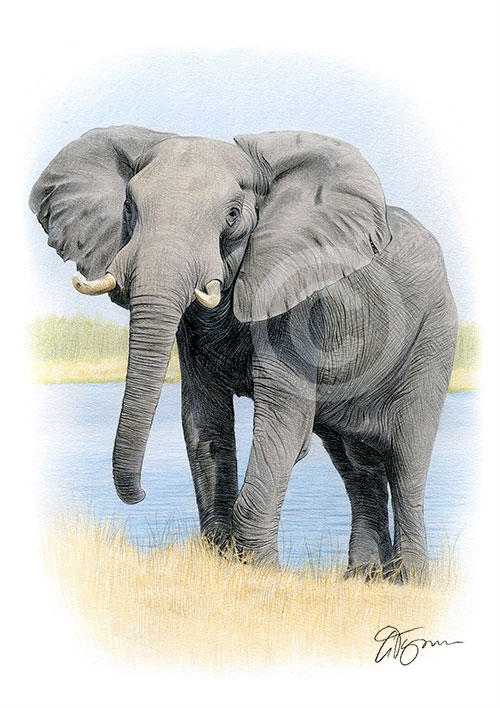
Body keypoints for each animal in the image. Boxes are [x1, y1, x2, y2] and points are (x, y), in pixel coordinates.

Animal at [30, 126, 458, 579]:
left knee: (407, 458)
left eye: (233, 216)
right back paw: (365, 579)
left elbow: (283, 419)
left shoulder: (296, 297)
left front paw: (261, 572)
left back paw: (411, 582)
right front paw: (221, 560)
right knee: (356, 466)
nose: (142, 494)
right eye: (128, 207)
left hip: (434, 335)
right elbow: (204, 418)